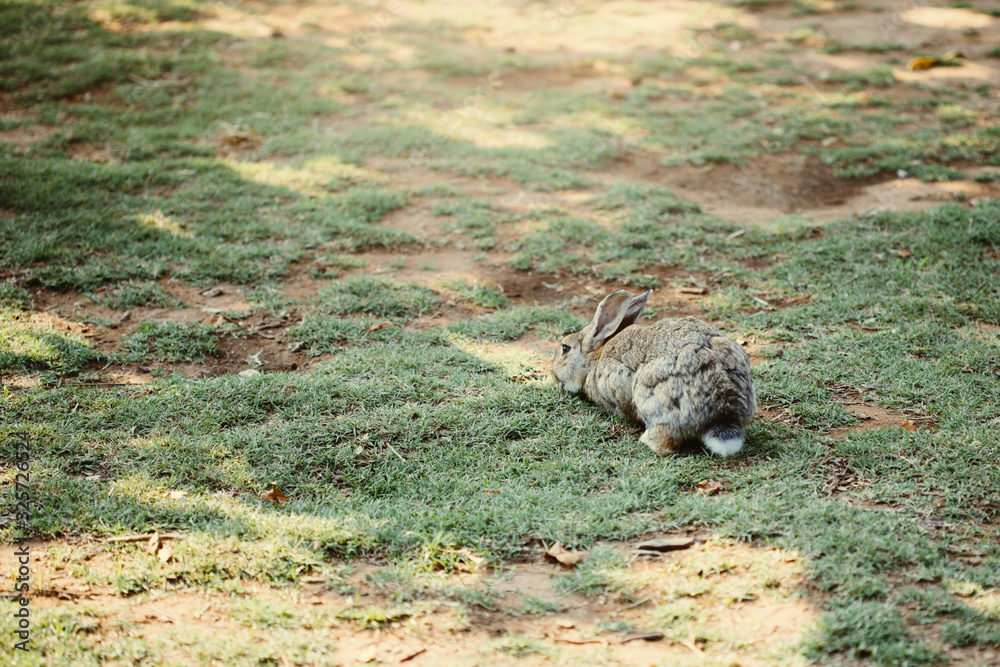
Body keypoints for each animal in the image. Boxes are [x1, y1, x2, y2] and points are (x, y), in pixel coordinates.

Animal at [552, 289, 756, 456]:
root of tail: (725, 409)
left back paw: (644, 439)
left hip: (654, 399)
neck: (594, 359)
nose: (554, 375)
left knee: (666, 443)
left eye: (565, 348)